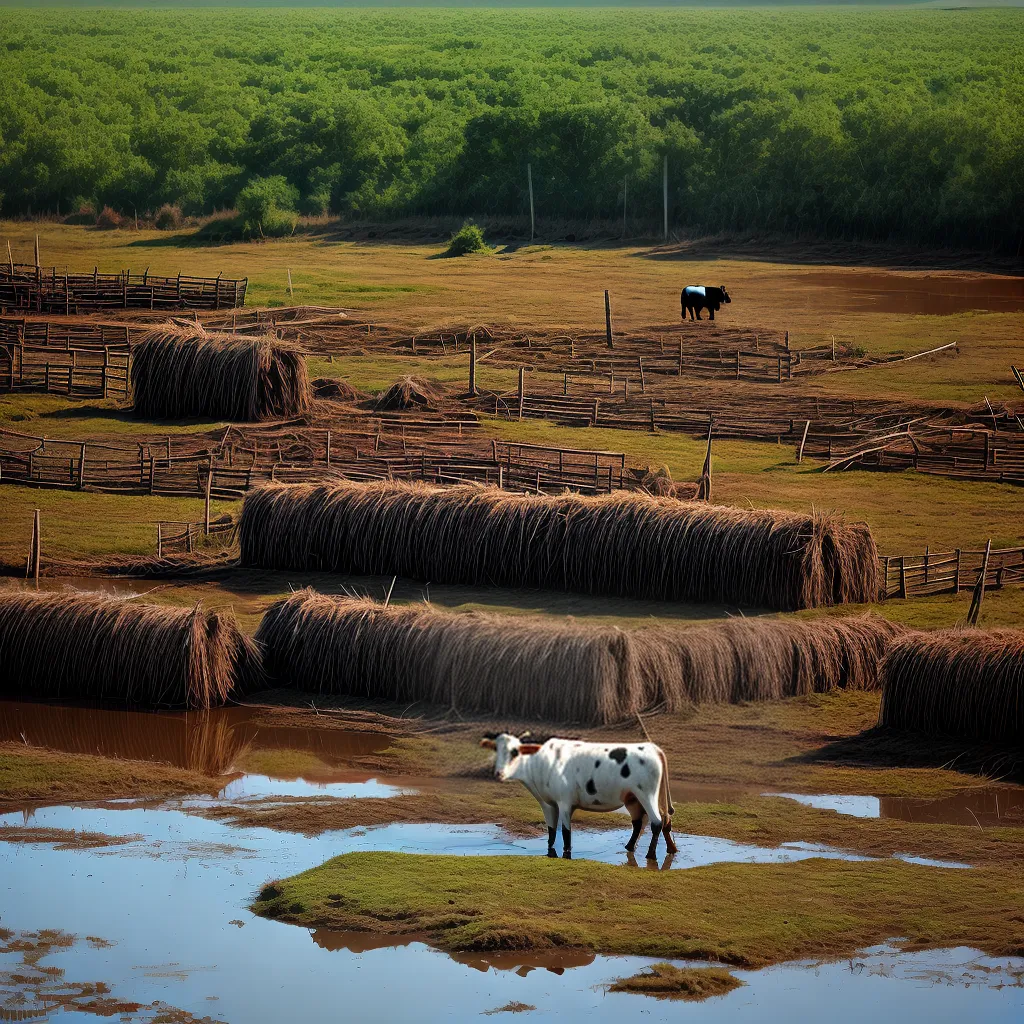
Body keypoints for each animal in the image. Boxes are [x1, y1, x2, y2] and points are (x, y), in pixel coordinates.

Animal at [480, 732, 677, 861]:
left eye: (515, 752)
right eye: (496, 749)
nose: (498, 773)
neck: (541, 763)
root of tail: (653, 748)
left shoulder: (565, 802)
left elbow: (566, 832)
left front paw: (567, 853)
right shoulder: (548, 803)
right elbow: (551, 831)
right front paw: (550, 851)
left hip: (647, 794)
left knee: (656, 822)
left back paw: (650, 855)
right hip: (633, 798)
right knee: (645, 822)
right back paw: (641, 848)